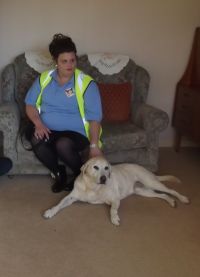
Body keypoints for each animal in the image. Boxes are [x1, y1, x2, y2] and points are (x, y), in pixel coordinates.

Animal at [43, 156, 189, 225]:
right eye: (95, 167)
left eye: (107, 168)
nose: (103, 178)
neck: (92, 187)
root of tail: (145, 169)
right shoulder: (71, 197)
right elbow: (59, 204)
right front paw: (50, 211)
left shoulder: (115, 199)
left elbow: (112, 209)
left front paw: (114, 218)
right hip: (143, 191)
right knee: (163, 195)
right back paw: (171, 202)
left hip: (150, 182)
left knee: (171, 190)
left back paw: (183, 198)